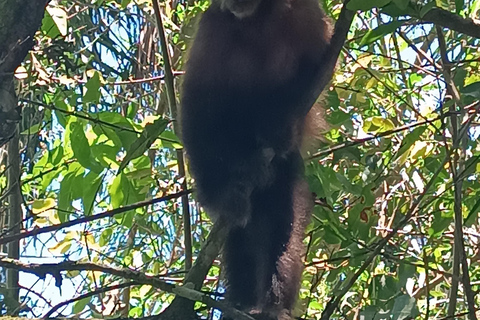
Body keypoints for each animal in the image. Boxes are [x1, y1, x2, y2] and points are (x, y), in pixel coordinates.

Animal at [180, 0, 330, 316]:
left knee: (281, 225)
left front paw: (281, 123)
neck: (258, 19)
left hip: (286, 173)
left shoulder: (305, 12)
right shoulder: (213, 24)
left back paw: (274, 308)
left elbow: (320, 66)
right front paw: (219, 193)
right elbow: (198, 101)